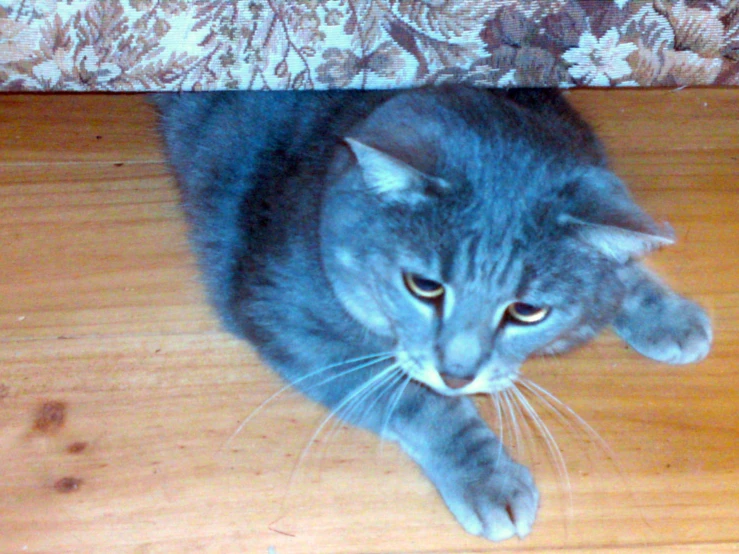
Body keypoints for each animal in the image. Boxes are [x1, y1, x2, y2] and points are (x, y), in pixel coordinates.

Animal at [155, 87, 712, 540]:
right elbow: (423, 404)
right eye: (424, 286)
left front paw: (666, 313)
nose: (457, 374)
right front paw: (489, 479)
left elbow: (624, 270)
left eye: (527, 310)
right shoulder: (289, 317)